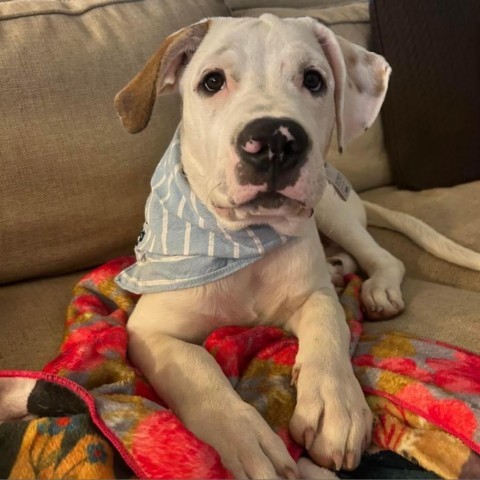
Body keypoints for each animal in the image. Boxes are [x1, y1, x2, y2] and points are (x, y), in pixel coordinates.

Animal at [111, 15, 480, 480]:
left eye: (314, 80)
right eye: (212, 81)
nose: (274, 141)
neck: (245, 240)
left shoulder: (312, 292)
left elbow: (328, 321)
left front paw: (336, 407)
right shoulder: (149, 331)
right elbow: (199, 370)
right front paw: (247, 439)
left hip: (331, 207)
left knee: (383, 256)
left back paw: (377, 289)